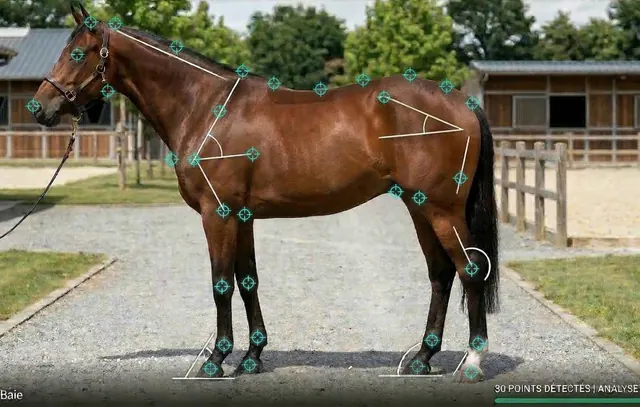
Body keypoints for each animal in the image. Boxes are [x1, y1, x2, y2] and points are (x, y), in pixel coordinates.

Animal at [32, 3, 500, 381]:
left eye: (77, 54)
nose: (40, 108)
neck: (205, 106)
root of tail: (462, 102)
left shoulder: (217, 214)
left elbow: (221, 284)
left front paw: (216, 361)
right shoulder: (242, 216)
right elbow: (247, 281)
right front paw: (252, 356)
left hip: (442, 210)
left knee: (471, 270)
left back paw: (474, 362)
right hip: (420, 209)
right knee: (441, 275)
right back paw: (422, 358)